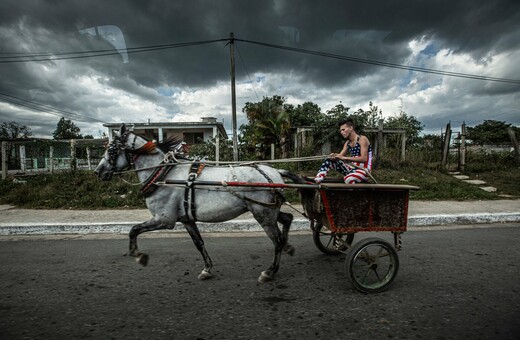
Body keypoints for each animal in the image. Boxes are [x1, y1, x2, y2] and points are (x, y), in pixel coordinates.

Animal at [95, 123, 294, 282]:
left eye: (111, 149)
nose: (98, 171)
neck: (164, 175)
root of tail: (276, 172)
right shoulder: (187, 219)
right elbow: (199, 243)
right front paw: (207, 269)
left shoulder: (164, 220)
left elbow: (134, 230)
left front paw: (137, 254)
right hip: (268, 210)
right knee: (287, 218)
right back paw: (288, 247)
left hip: (263, 213)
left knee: (277, 240)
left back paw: (270, 271)